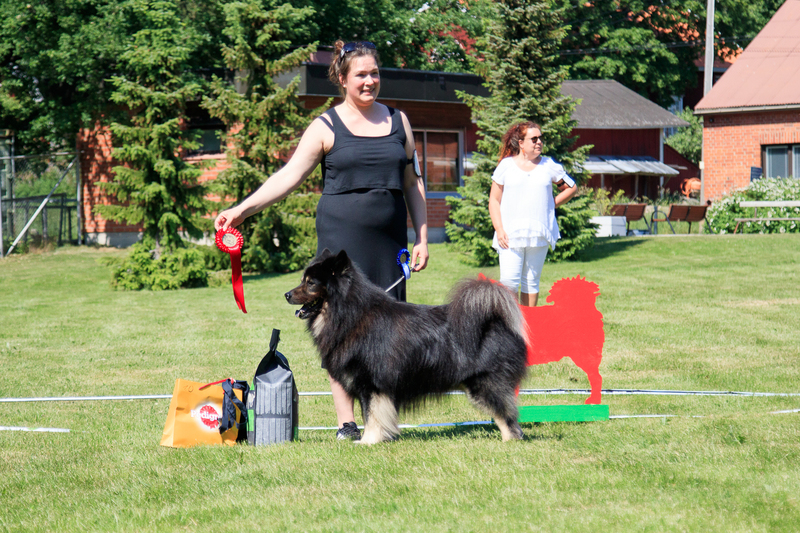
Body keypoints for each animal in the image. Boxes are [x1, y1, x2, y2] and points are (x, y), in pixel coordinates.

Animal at [285, 249, 529, 444]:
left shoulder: (371, 384)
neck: (349, 314)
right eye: (302, 279)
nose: (286, 294)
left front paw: (367, 442)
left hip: (485, 384)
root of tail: (496, 320)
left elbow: (371, 416)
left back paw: (510, 441)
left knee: (506, 416)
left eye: (310, 283)